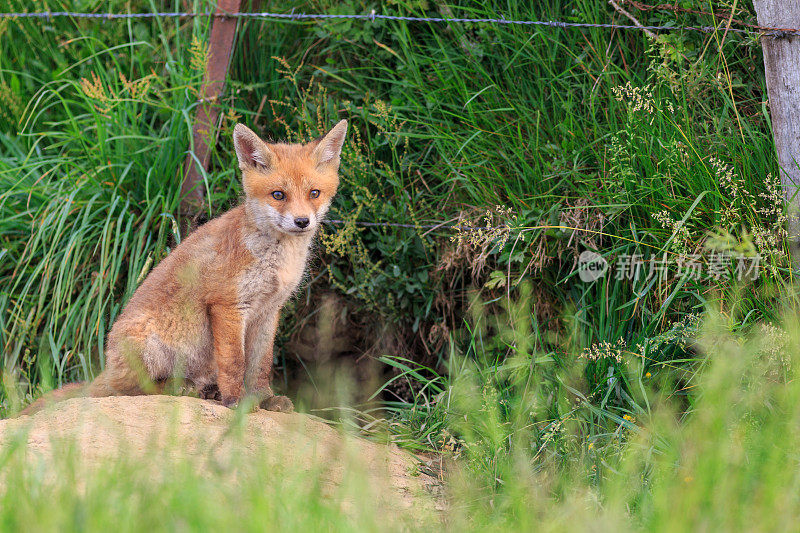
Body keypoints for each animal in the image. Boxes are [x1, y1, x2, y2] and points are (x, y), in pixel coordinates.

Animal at [20, 118, 346, 414]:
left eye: (314, 193)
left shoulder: (268, 312)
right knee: (131, 389)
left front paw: (265, 400)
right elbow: (235, 363)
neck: (275, 258)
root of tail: (107, 367)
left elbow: (260, 365)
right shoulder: (227, 305)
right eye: (278, 195)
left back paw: (206, 391)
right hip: (150, 348)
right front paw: (237, 403)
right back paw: (180, 389)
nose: (302, 221)